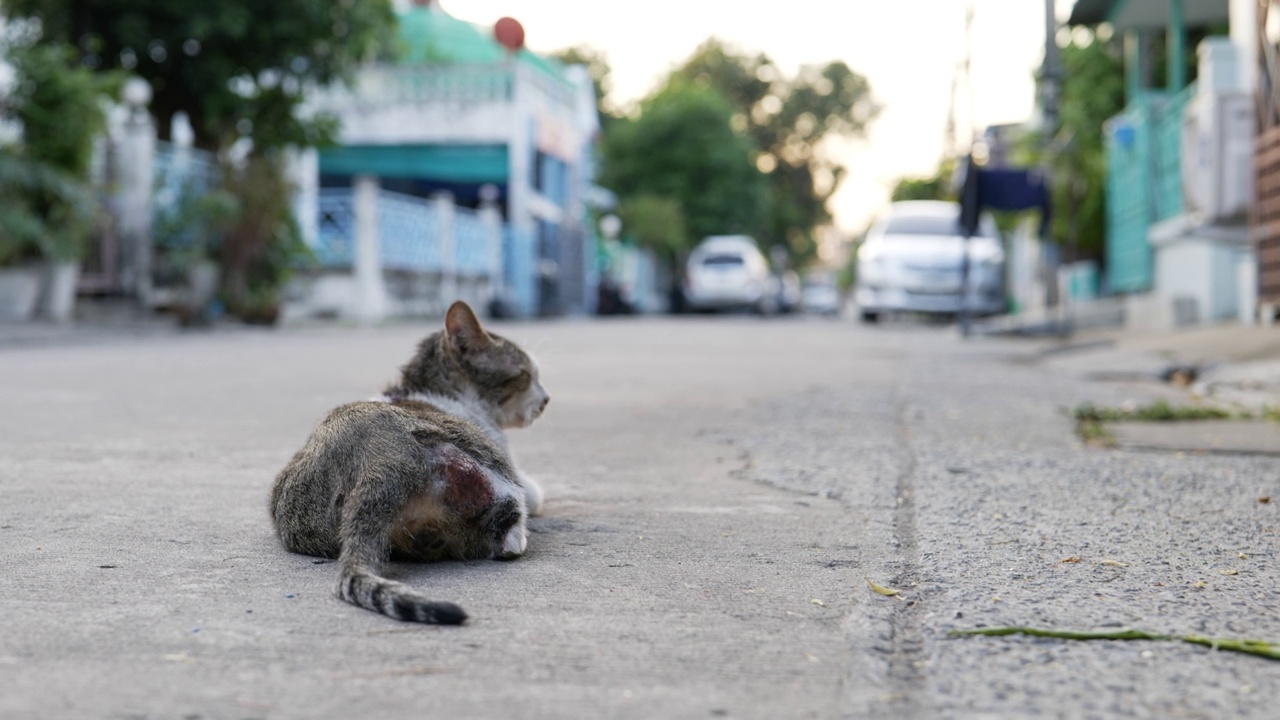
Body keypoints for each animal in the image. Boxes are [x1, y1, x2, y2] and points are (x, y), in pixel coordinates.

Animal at [270, 298, 550, 622]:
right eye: (526, 375)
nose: (546, 399)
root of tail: (378, 457)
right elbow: (538, 493)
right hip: (494, 472)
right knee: (509, 535)